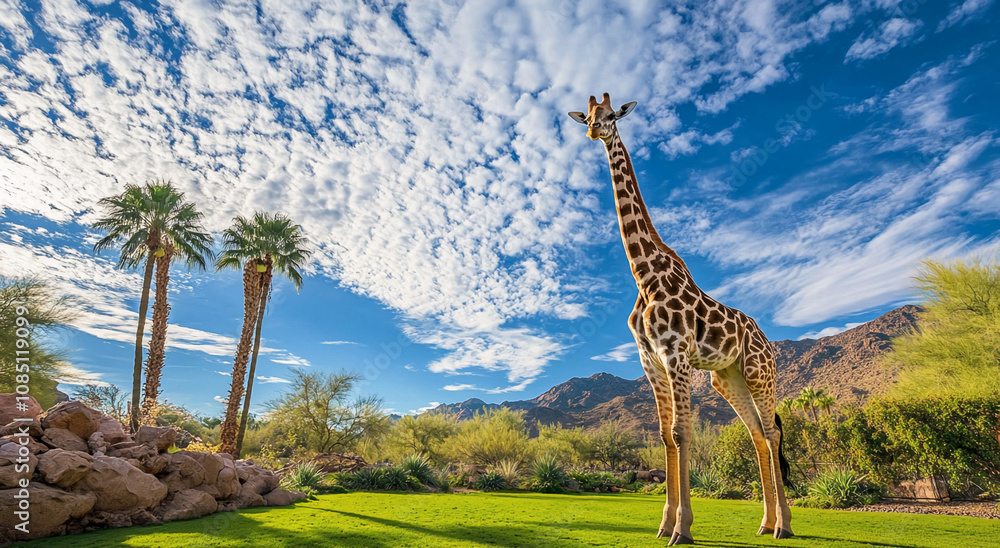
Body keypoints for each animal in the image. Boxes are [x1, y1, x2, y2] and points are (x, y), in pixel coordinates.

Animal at [568, 93, 793, 545]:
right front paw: (664, 524)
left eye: (611, 115)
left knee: (773, 431)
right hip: (728, 379)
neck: (644, 274)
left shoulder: (677, 354)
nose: (594, 132)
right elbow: (664, 435)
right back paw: (765, 523)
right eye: (587, 116)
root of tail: (768, 343)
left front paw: (683, 529)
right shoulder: (650, 359)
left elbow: (681, 432)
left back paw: (784, 525)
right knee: (757, 435)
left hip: (760, 373)